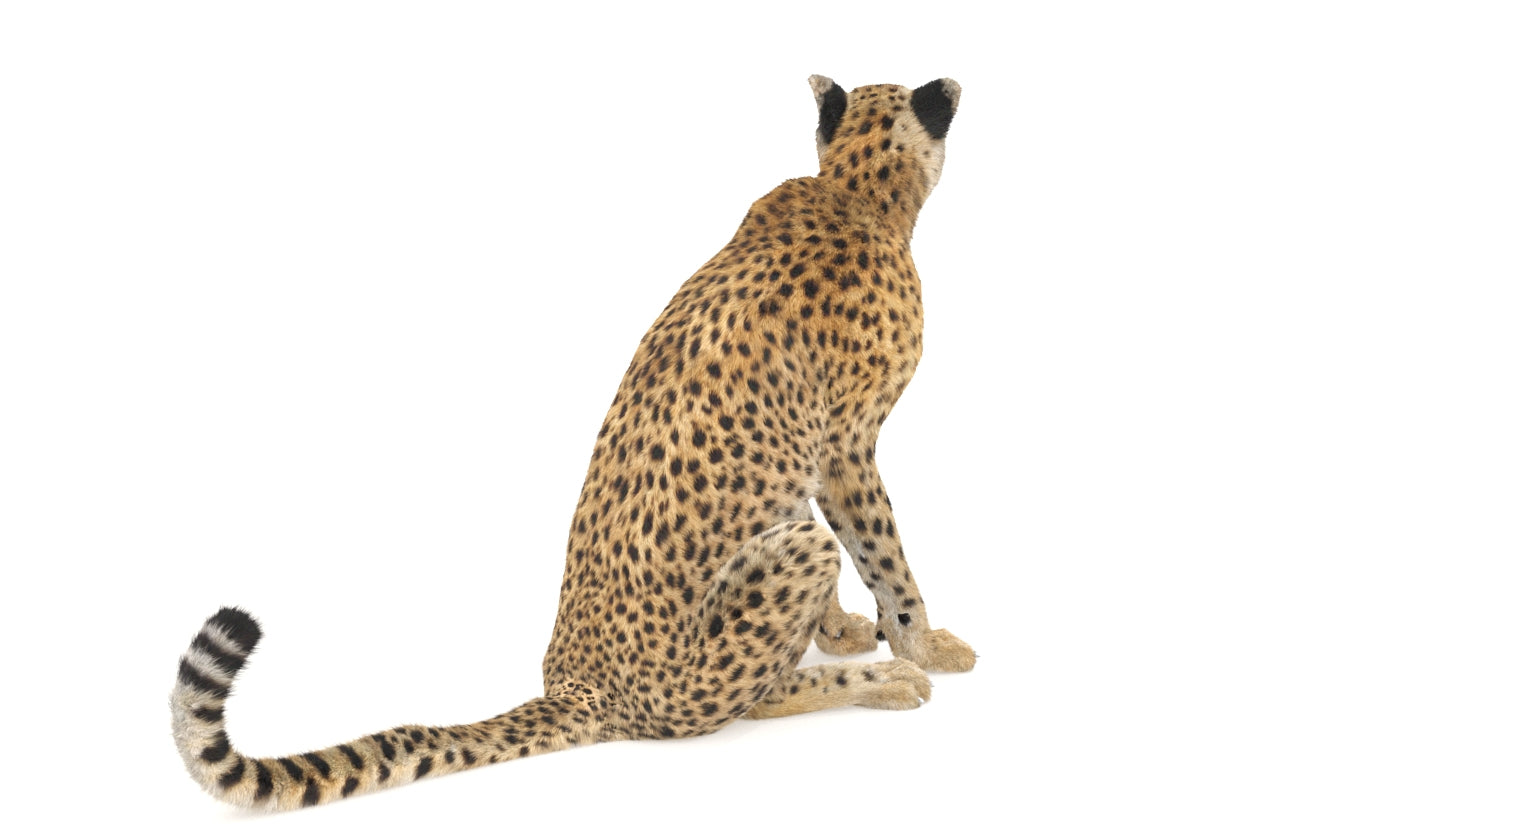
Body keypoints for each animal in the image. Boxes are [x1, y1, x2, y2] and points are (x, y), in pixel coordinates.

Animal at [170, 75, 973, 810]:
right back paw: (885, 682)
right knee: (757, 695)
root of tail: (578, 684)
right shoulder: (846, 445)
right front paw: (922, 644)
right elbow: (884, 557)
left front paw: (838, 627)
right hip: (782, 573)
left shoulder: (811, 451)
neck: (857, 188)